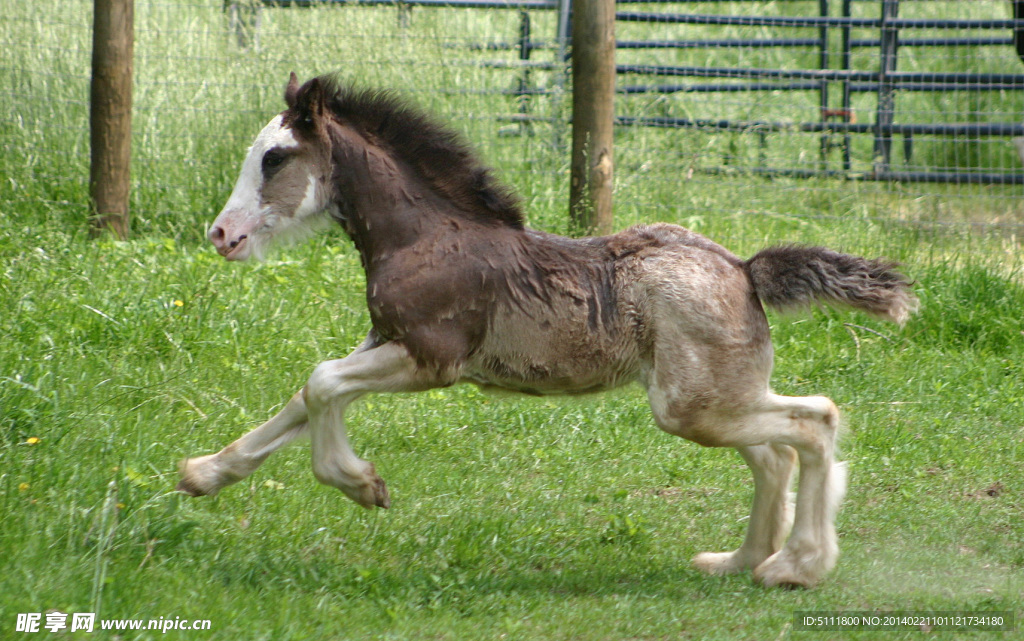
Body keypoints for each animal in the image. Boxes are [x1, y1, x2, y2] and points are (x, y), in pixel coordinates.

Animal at [178, 72, 921, 585]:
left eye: (275, 158)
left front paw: (362, 483)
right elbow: (303, 399)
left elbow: (320, 382)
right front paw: (203, 473)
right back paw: (738, 560)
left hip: (691, 405)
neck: (427, 236)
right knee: (775, 454)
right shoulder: (381, 341)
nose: (221, 234)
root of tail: (744, 270)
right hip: (716, 396)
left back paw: (796, 566)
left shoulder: (429, 358)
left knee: (815, 421)